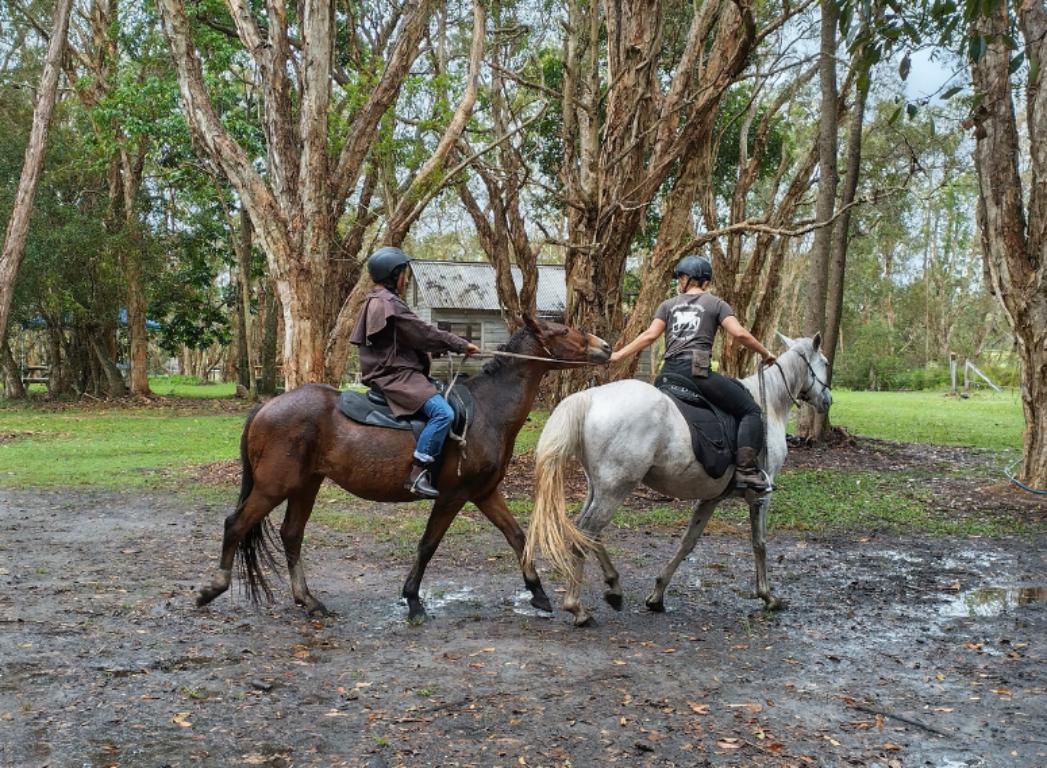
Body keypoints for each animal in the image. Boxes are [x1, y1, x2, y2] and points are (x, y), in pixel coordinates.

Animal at [196, 315, 611, 623]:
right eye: (565, 331)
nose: (605, 347)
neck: (488, 410)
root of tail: (266, 407)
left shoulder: (484, 493)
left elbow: (517, 536)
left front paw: (538, 593)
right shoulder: (453, 496)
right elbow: (428, 544)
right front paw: (412, 599)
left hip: (305, 485)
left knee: (291, 534)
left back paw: (308, 601)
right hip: (274, 485)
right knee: (237, 523)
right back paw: (213, 587)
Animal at [523, 334, 833, 627]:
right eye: (826, 363)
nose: (827, 400)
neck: (770, 403)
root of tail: (591, 397)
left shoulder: (711, 497)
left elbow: (688, 542)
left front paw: (657, 595)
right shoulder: (761, 497)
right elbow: (760, 543)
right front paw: (768, 596)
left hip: (598, 488)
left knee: (586, 532)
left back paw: (614, 588)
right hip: (615, 489)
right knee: (585, 535)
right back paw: (577, 608)